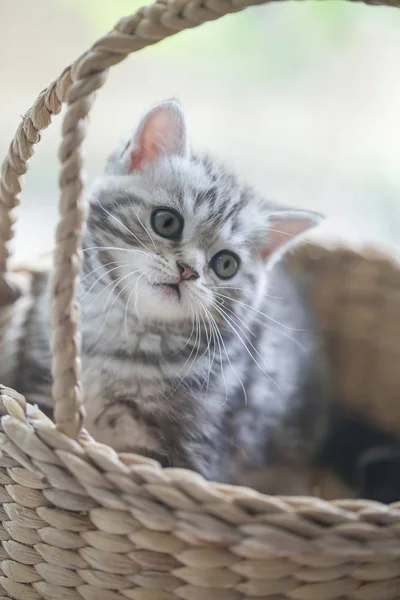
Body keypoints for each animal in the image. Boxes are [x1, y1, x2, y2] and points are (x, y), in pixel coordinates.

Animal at [7, 101, 328, 494]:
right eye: (166, 222)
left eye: (225, 264)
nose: (188, 270)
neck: (124, 336)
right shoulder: (41, 382)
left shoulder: (191, 449)